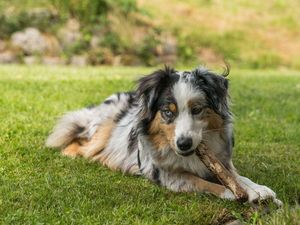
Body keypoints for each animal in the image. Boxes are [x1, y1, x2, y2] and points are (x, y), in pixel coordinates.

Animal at [46, 65, 282, 206]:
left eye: (197, 109)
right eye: (168, 112)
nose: (184, 144)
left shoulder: (221, 162)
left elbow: (238, 177)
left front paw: (260, 191)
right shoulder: (168, 175)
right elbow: (206, 183)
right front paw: (233, 194)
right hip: (102, 132)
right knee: (78, 142)